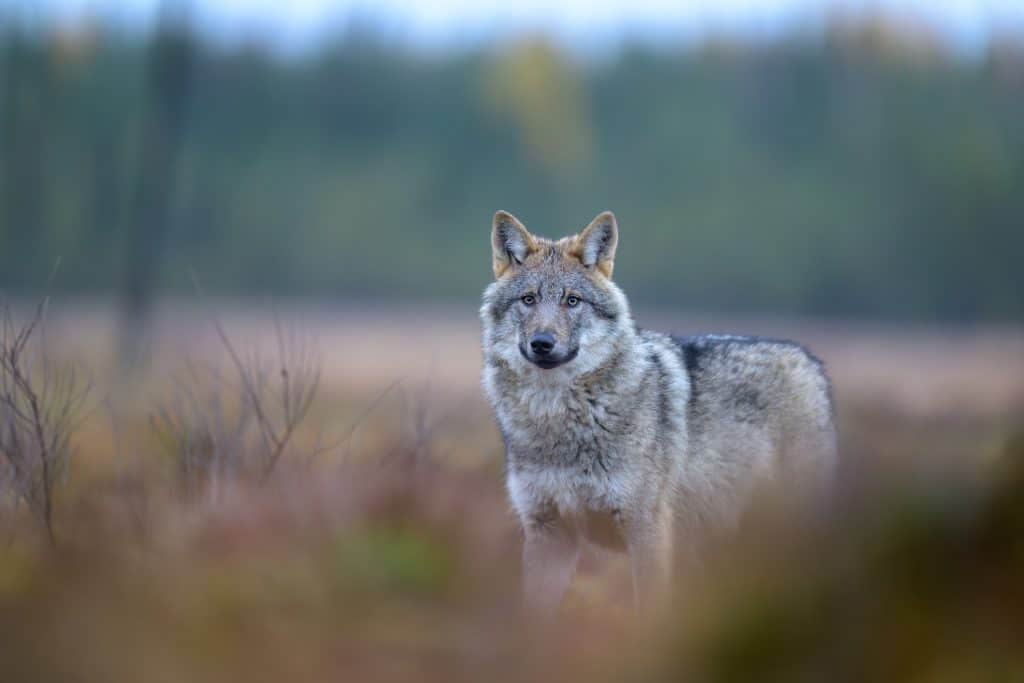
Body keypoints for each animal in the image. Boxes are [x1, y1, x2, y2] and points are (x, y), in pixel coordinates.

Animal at [480, 210, 837, 621]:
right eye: (528, 299)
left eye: (572, 301)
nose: (542, 343)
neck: (557, 420)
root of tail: (808, 360)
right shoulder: (548, 532)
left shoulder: (647, 530)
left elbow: (648, 611)